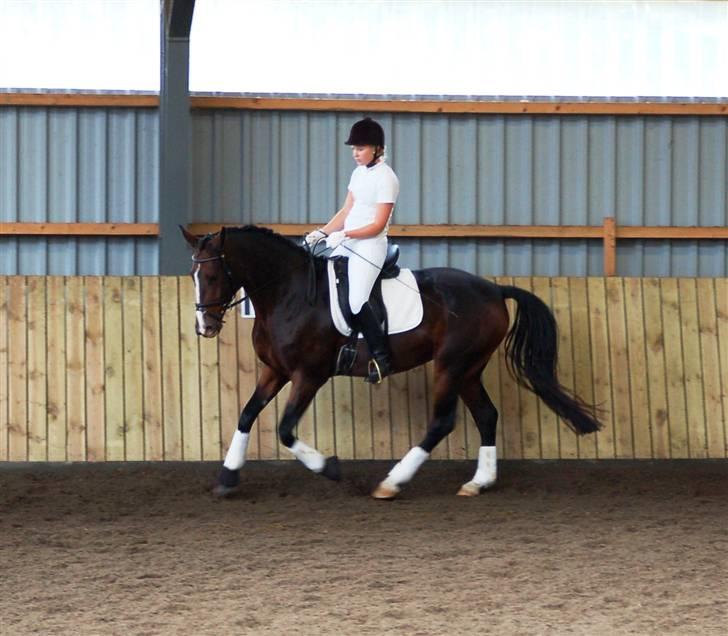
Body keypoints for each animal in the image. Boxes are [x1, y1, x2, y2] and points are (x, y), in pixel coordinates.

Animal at [179, 226, 600, 500]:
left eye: (212, 273)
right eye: (193, 273)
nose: (205, 327)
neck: (289, 292)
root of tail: (494, 289)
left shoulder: (309, 375)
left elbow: (284, 429)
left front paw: (330, 468)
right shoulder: (276, 370)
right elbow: (247, 414)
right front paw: (227, 477)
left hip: (451, 364)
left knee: (443, 421)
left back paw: (392, 483)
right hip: (469, 369)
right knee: (486, 415)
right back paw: (478, 482)